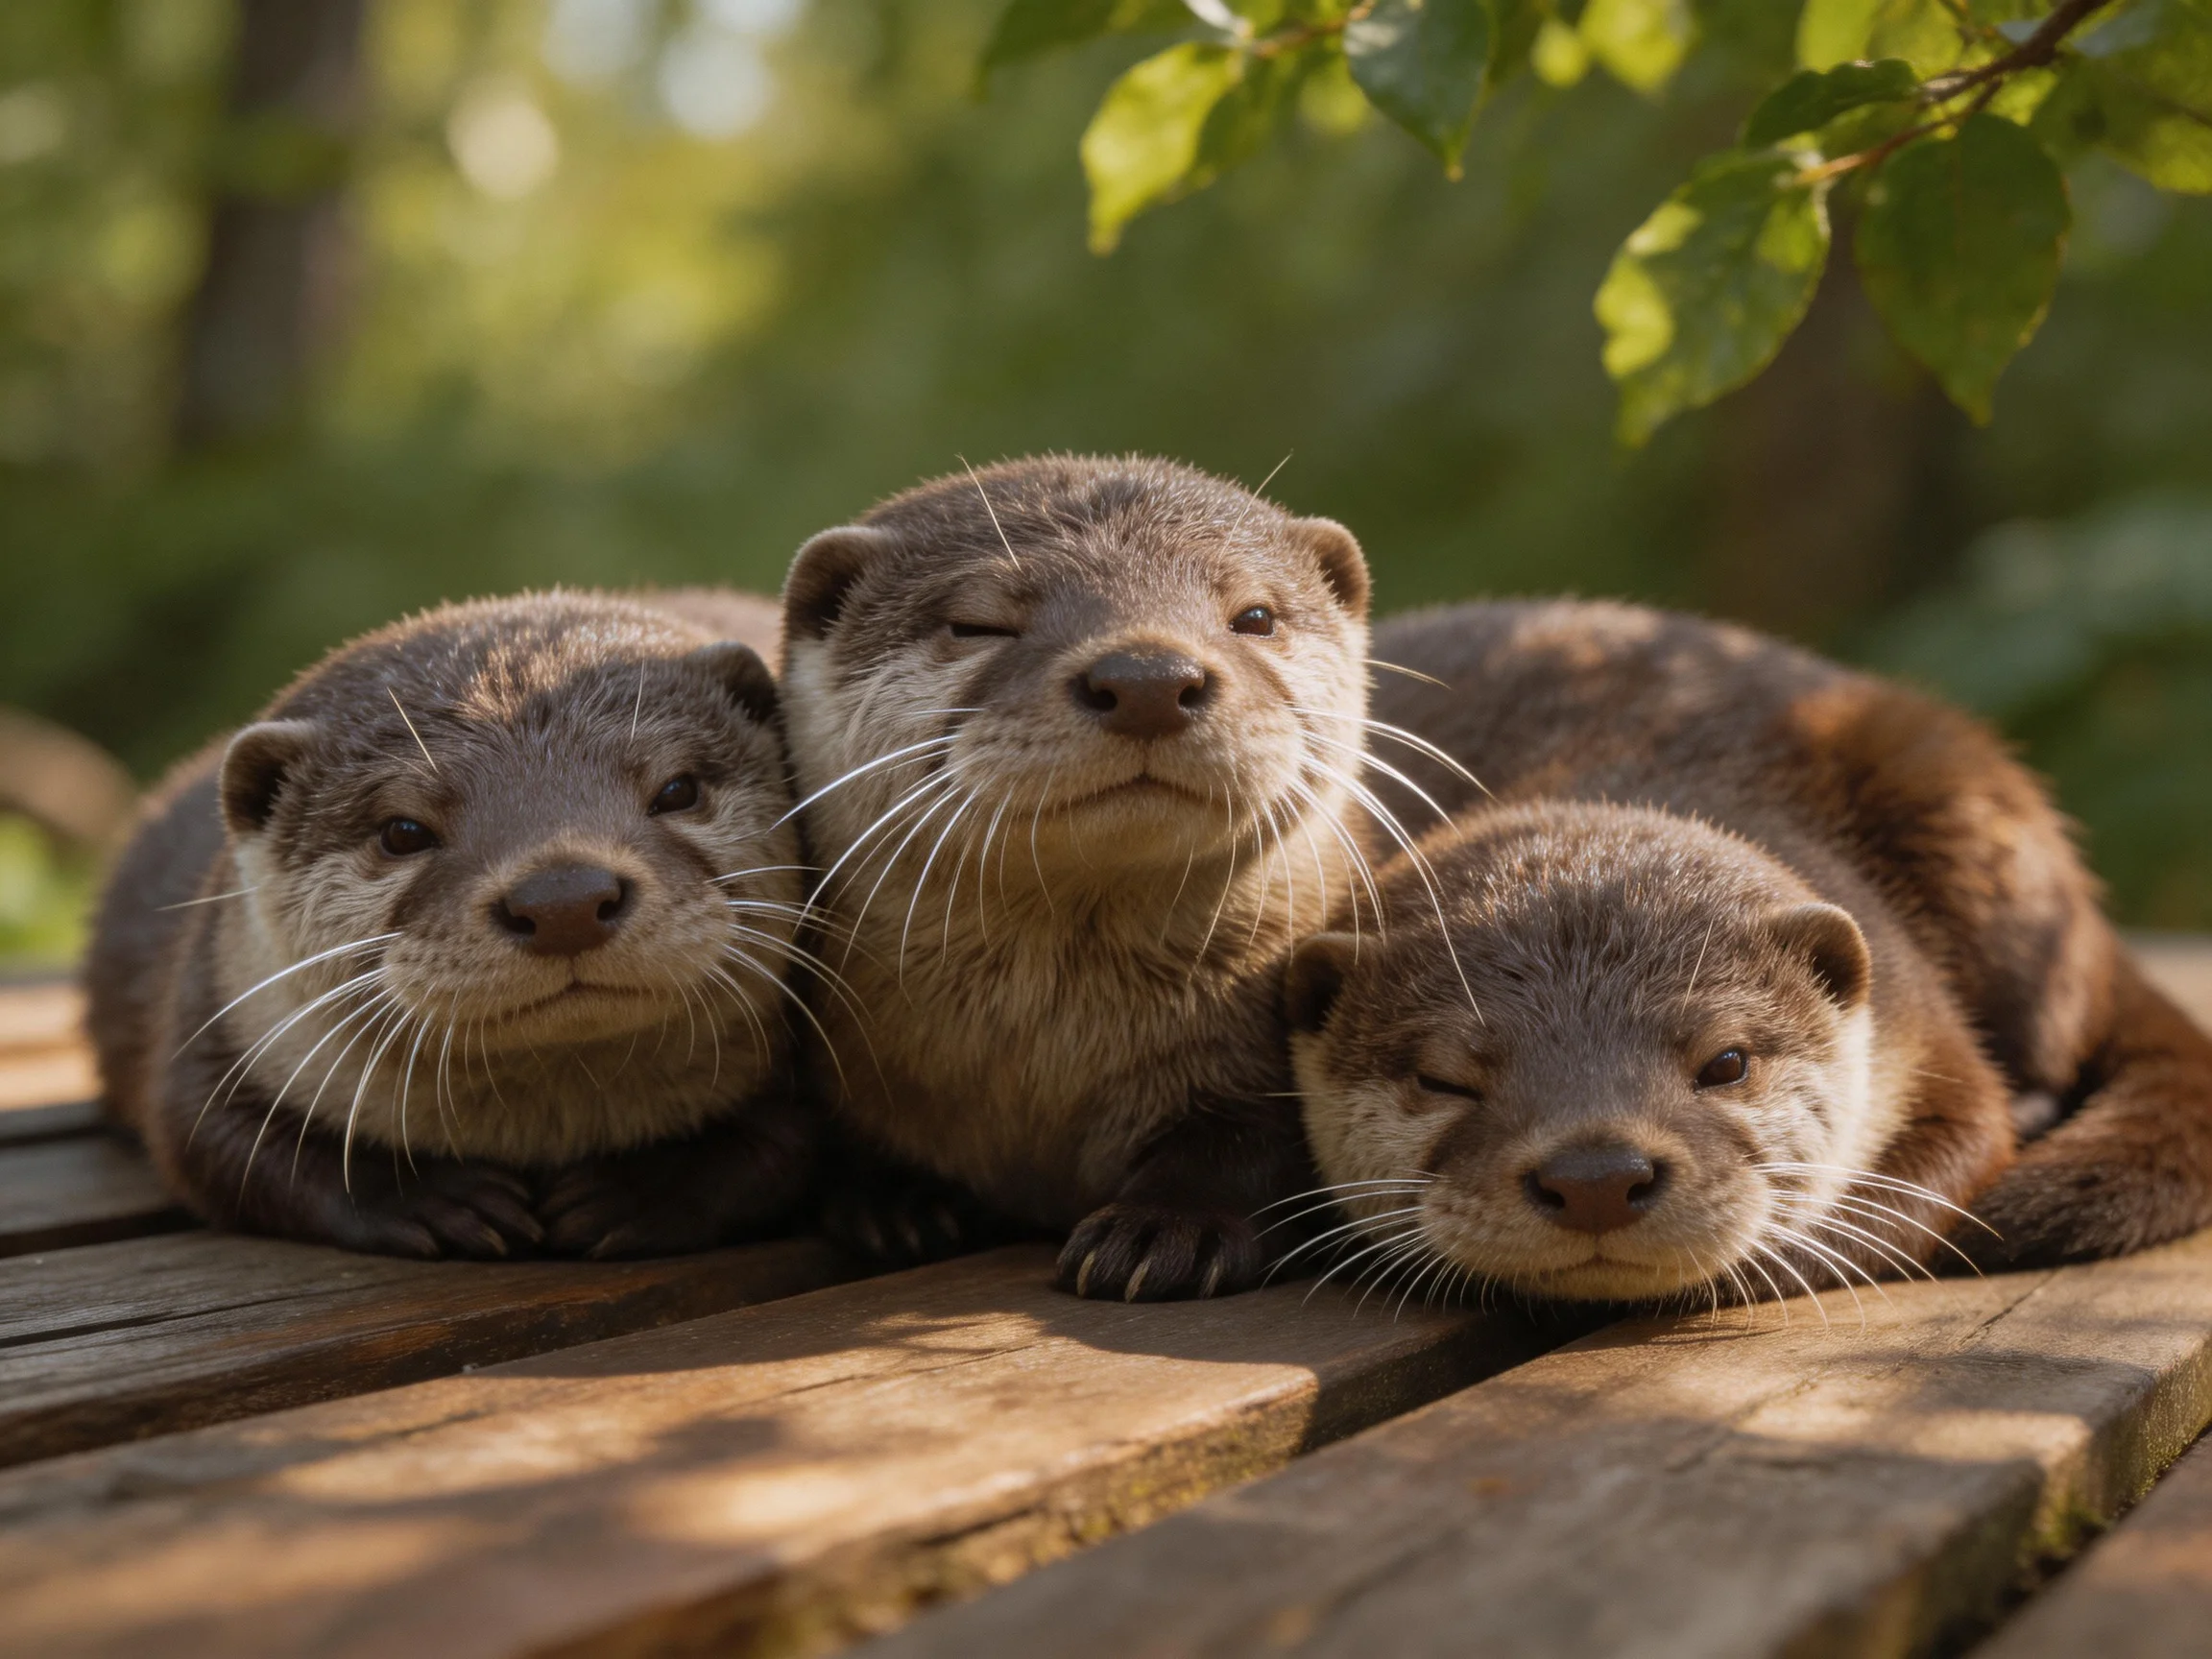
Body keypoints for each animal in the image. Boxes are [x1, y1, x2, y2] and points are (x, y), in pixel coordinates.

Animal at [85, 589, 815, 1259]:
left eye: (677, 790)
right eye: (403, 831)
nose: (564, 899)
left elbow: (792, 1142)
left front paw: (635, 1193)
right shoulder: (211, 1015)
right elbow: (214, 1144)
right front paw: (436, 1200)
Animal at [778, 455, 1381, 1299]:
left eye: (1255, 616)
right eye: (977, 625)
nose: (1149, 677)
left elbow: (1249, 1152)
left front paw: (1165, 1228)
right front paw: (901, 1204)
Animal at [1283, 598, 2212, 1300]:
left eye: (1726, 1063)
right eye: (1444, 1080)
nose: (1596, 1176)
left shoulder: (1915, 1013)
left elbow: (1960, 1148)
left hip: (1961, 804)